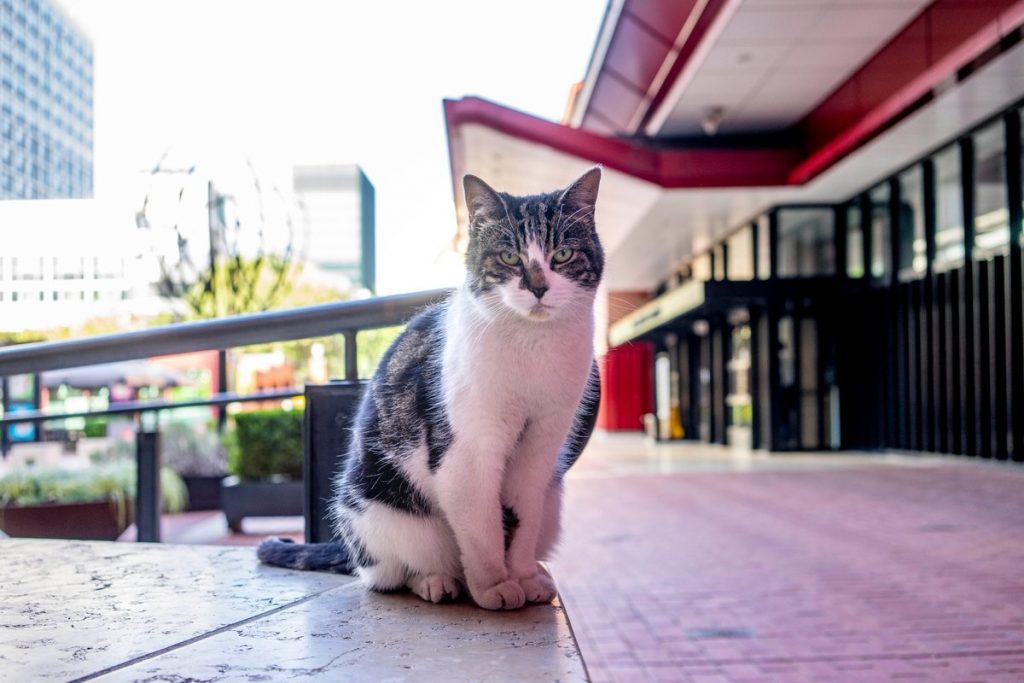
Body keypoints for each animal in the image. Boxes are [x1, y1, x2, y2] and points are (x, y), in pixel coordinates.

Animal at [260, 167, 602, 610]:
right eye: (509, 257)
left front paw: (523, 576)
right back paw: (437, 581)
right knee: (389, 572)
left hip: (553, 500)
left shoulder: (541, 446)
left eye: (562, 255)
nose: (538, 286)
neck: (533, 348)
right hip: (379, 510)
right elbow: (482, 527)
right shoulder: (467, 451)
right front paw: (494, 585)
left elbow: (522, 520)